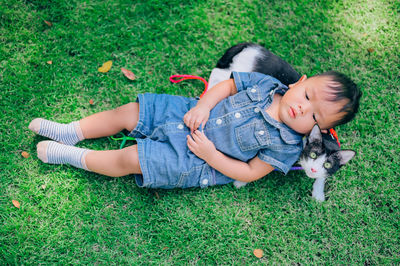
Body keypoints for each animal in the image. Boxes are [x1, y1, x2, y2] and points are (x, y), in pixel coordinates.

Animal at [208, 42, 354, 201]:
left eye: (327, 164)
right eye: (313, 155)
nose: (313, 169)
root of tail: (251, 46)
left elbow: (322, 177)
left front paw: (318, 193)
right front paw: (240, 181)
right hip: (236, 68)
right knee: (218, 74)